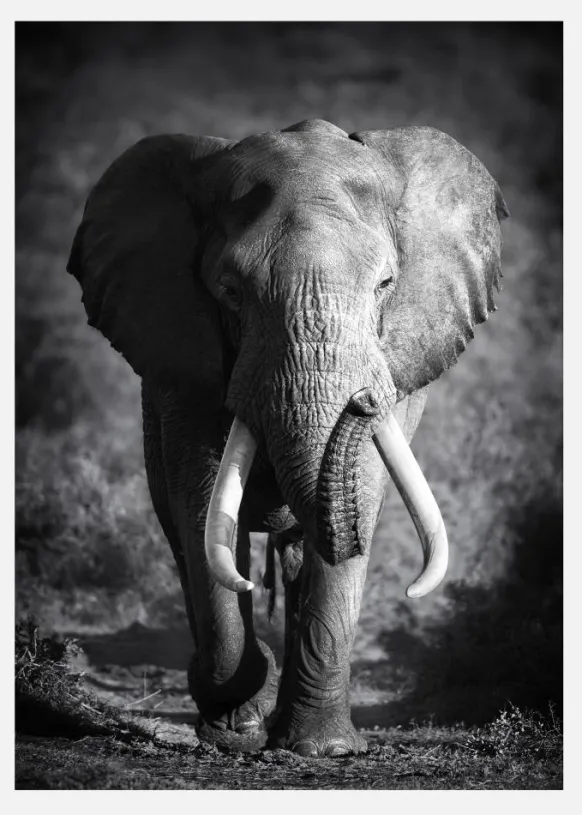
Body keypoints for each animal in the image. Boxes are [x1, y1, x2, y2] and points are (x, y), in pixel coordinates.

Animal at [67, 118, 508, 757]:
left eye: (386, 284)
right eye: (230, 291)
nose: (363, 400)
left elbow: (361, 494)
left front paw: (323, 750)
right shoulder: (184, 364)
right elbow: (200, 503)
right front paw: (234, 727)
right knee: (182, 534)